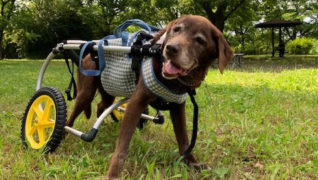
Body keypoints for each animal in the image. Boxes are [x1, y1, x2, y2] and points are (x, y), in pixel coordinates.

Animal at [65, 15, 234, 179]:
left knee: (101, 106)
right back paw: (64, 133)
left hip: (108, 90)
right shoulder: (136, 102)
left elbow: (184, 140)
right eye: (176, 30)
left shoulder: (178, 107)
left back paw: (105, 125)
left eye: (200, 40)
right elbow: (122, 147)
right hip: (86, 92)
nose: (171, 48)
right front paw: (113, 174)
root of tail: (91, 47)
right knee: (72, 116)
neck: (176, 82)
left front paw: (192, 163)